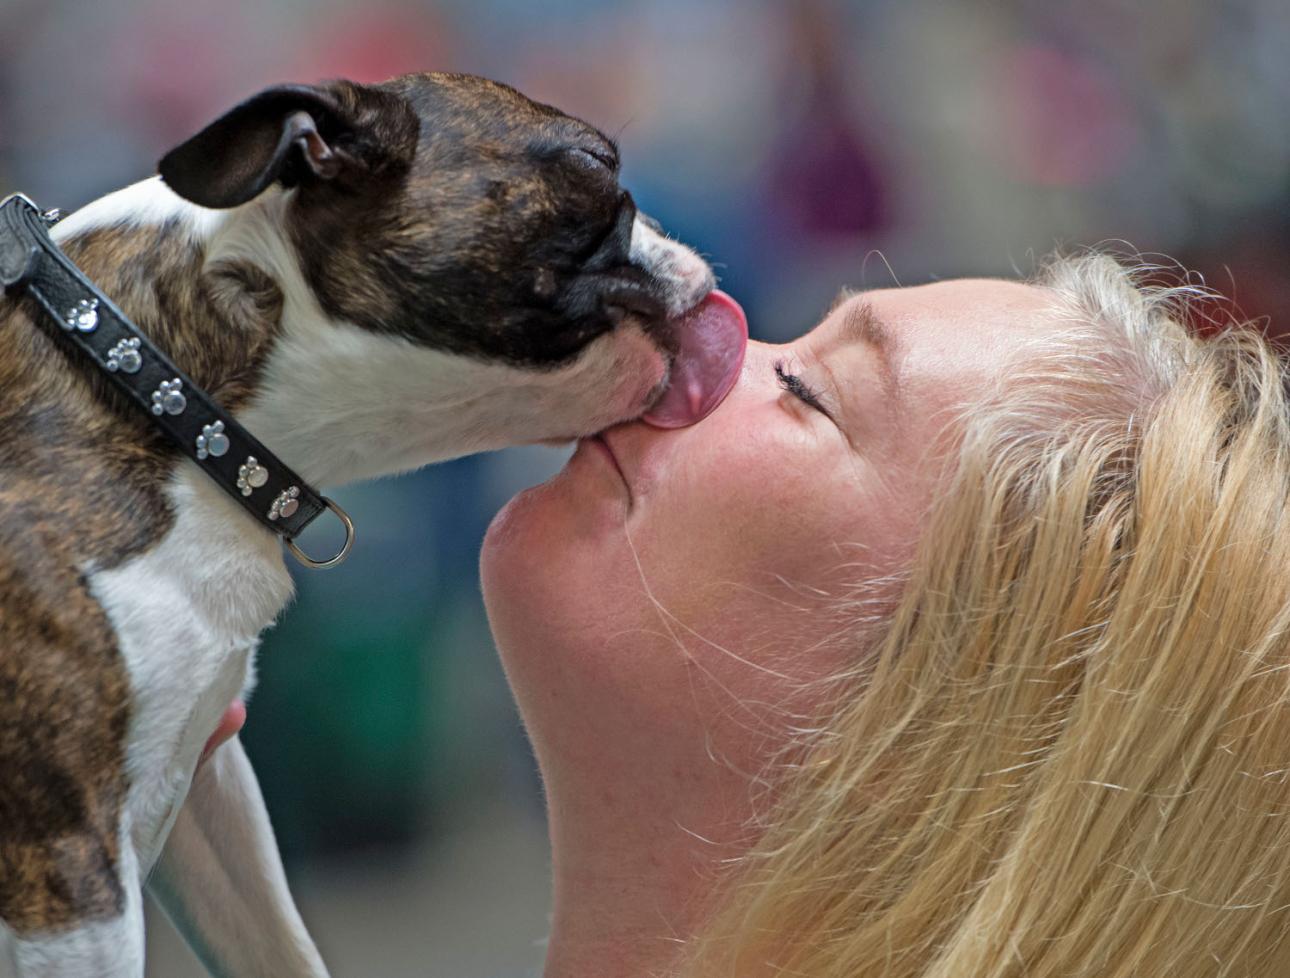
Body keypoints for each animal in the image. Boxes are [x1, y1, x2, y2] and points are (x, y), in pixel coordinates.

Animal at [0, 74, 748, 978]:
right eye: (597, 165)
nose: (683, 246)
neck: (160, 393)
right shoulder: (68, 871)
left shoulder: (209, 791)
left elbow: (280, 946)